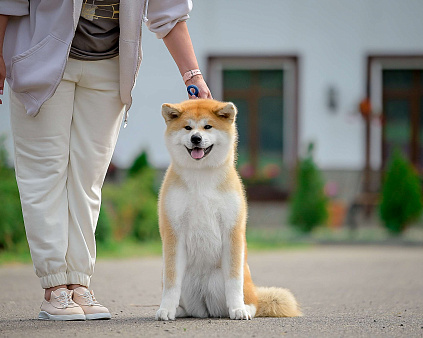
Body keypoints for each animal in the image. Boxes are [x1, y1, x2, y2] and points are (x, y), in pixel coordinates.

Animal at [157, 99, 302, 320]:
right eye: (187, 127)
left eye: (208, 126)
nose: (196, 138)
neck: (201, 178)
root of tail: (205, 309)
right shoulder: (174, 231)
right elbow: (171, 282)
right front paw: (166, 309)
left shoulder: (232, 231)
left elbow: (234, 282)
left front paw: (238, 309)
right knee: (186, 304)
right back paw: (178, 310)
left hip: (231, 281)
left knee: (252, 301)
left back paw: (245, 308)